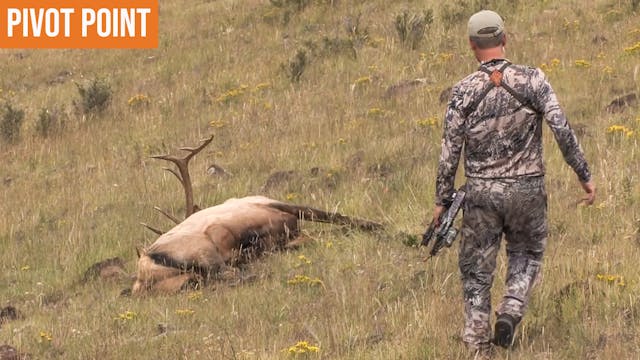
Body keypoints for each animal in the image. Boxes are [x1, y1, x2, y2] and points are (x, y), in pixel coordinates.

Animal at [133, 136, 382, 294]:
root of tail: (144, 271)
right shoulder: (273, 207)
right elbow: (335, 216)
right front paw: (382, 227)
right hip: (204, 251)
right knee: (231, 272)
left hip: (188, 276)